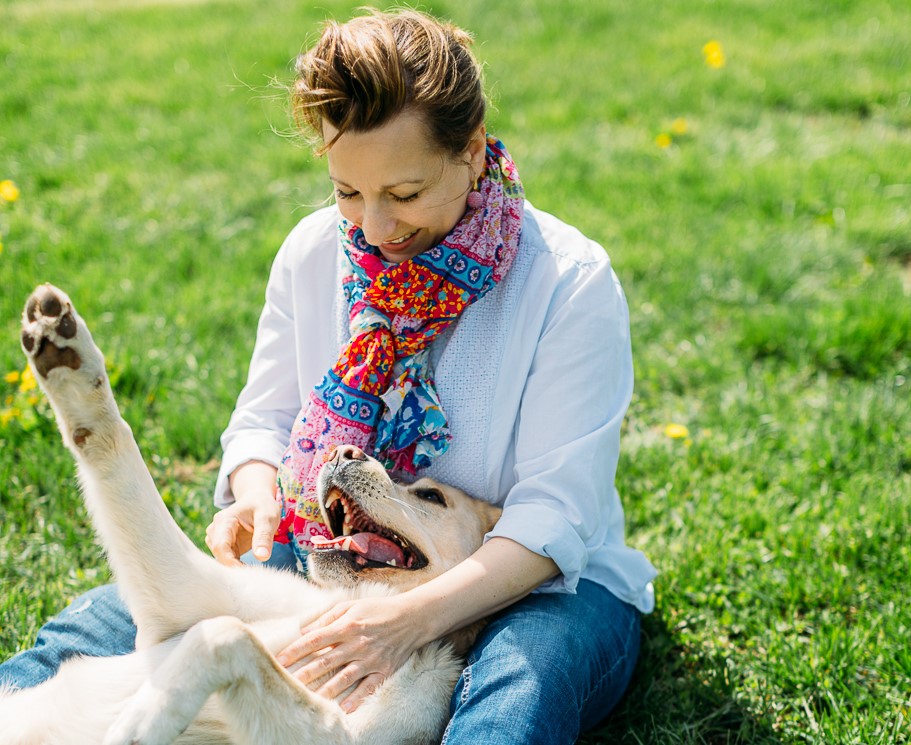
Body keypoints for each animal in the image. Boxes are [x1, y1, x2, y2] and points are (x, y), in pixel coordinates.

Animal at [1, 284, 498, 744]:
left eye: (431, 496)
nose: (342, 451)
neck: (361, 602)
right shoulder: (186, 594)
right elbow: (114, 445)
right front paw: (64, 353)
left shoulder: (340, 732)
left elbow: (226, 637)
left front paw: (144, 720)